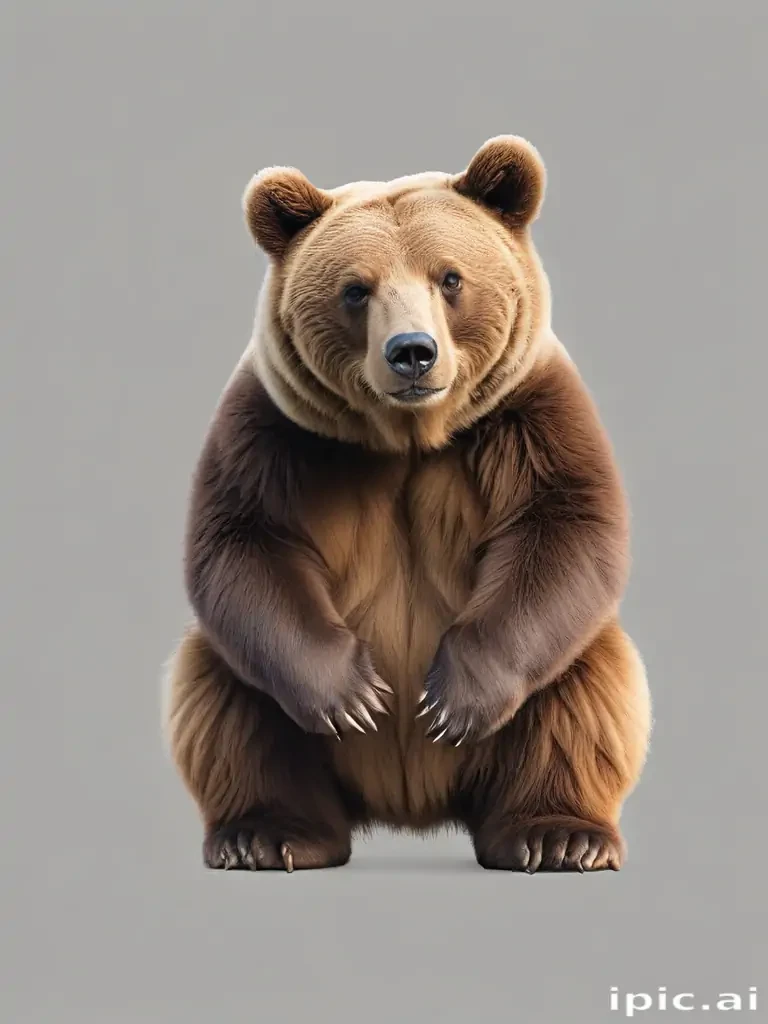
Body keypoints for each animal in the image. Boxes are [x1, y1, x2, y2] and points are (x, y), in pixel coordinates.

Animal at [164, 135, 651, 873]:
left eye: (449, 278)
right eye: (355, 289)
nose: (412, 353)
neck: (408, 438)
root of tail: (409, 807)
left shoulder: (529, 414)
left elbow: (563, 529)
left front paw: (451, 701)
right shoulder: (275, 429)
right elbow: (244, 541)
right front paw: (355, 696)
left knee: (586, 683)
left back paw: (556, 835)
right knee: (226, 690)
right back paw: (268, 834)